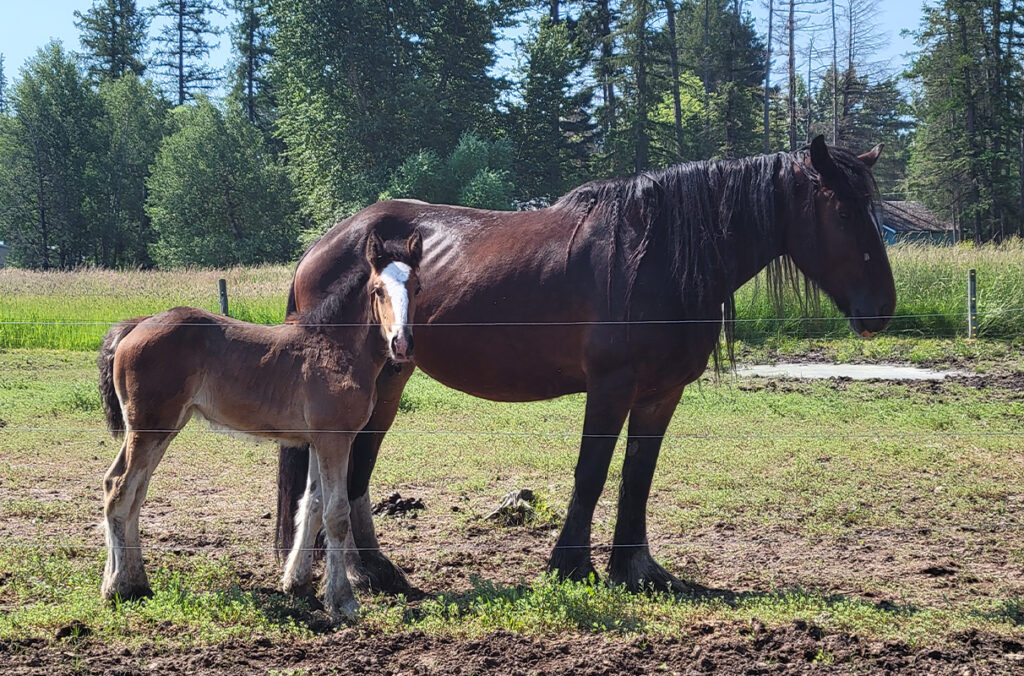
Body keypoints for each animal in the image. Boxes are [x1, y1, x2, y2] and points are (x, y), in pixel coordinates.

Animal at [97, 229, 423, 621]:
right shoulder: (335, 438)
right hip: (148, 428)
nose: (402, 343)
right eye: (378, 290)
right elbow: (336, 514)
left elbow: (311, 505)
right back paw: (116, 588)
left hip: (161, 429)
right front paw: (342, 600)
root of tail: (135, 325)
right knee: (119, 487)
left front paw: (296, 583)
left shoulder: (317, 440)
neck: (335, 346)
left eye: (417, 286)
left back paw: (139, 584)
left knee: (134, 491)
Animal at [276, 136, 896, 595]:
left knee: (356, 466)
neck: (656, 255)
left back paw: (375, 571)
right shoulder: (612, 387)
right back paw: (363, 572)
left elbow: (638, 476)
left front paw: (638, 568)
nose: (881, 310)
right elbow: (592, 472)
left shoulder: (659, 394)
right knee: (348, 468)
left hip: (391, 380)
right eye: (844, 208)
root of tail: (322, 247)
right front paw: (571, 565)